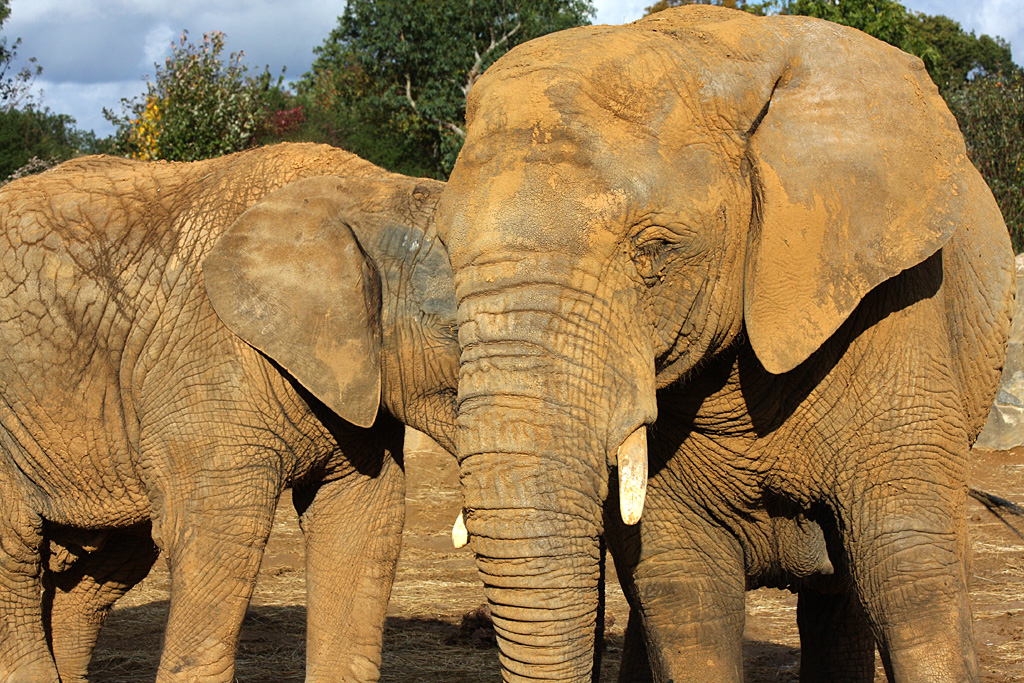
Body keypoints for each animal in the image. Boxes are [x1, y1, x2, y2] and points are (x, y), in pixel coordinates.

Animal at [0, 142, 459, 682]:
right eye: (453, 333)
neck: (367, 193)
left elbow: (363, 522)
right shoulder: (205, 354)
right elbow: (220, 533)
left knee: (106, 568)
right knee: (15, 554)